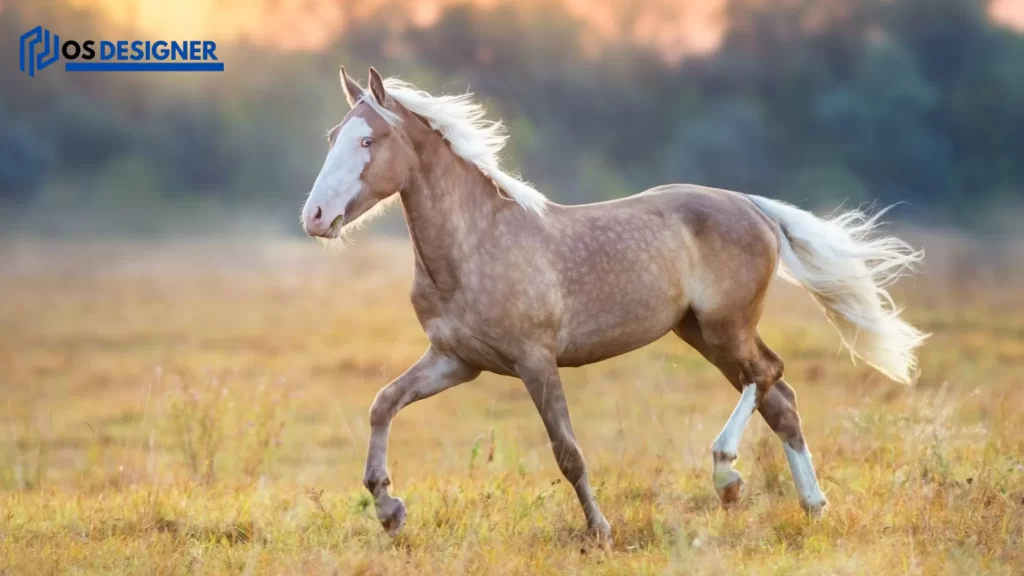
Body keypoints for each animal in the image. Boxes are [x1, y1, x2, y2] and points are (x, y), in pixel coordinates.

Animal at [299, 66, 929, 537]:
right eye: (331, 137)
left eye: (368, 140)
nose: (316, 217)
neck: (475, 243)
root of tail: (752, 206)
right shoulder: (457, 361)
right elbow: (383, 404)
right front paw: (389, 509)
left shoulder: (534, 361)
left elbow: (567, 450)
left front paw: (599, 530)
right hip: (700, 333)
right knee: (783, 401)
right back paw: (812, 506)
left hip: (725, 327)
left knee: (768, 374)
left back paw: (727, 476)